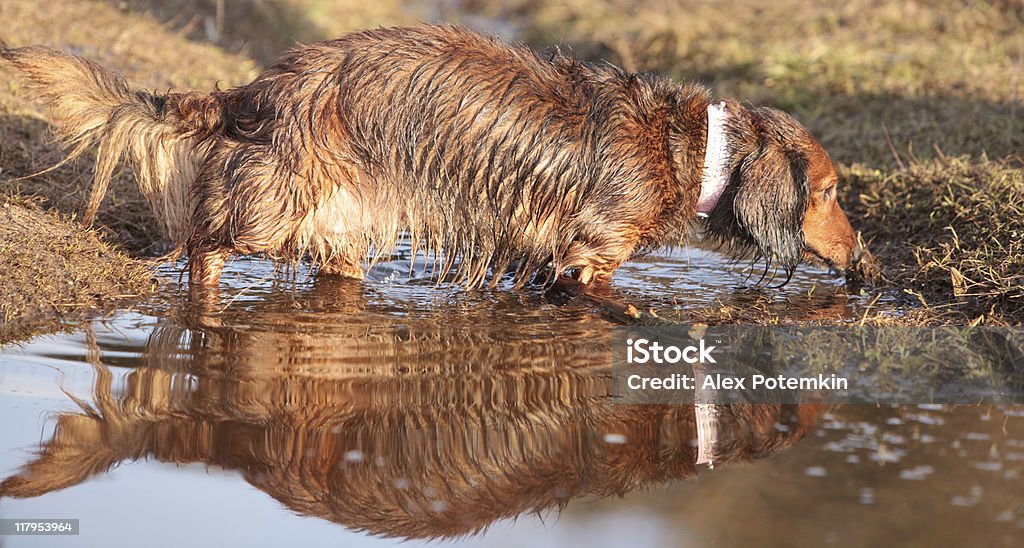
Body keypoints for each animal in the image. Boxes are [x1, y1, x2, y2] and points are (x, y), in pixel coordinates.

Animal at [4, 24, 860, 290]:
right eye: (827, 192)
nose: (864, 261)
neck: (697, 151)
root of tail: (255, 90)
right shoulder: (592, 253)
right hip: (269, 207)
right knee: (203, 247)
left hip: (342, 229)